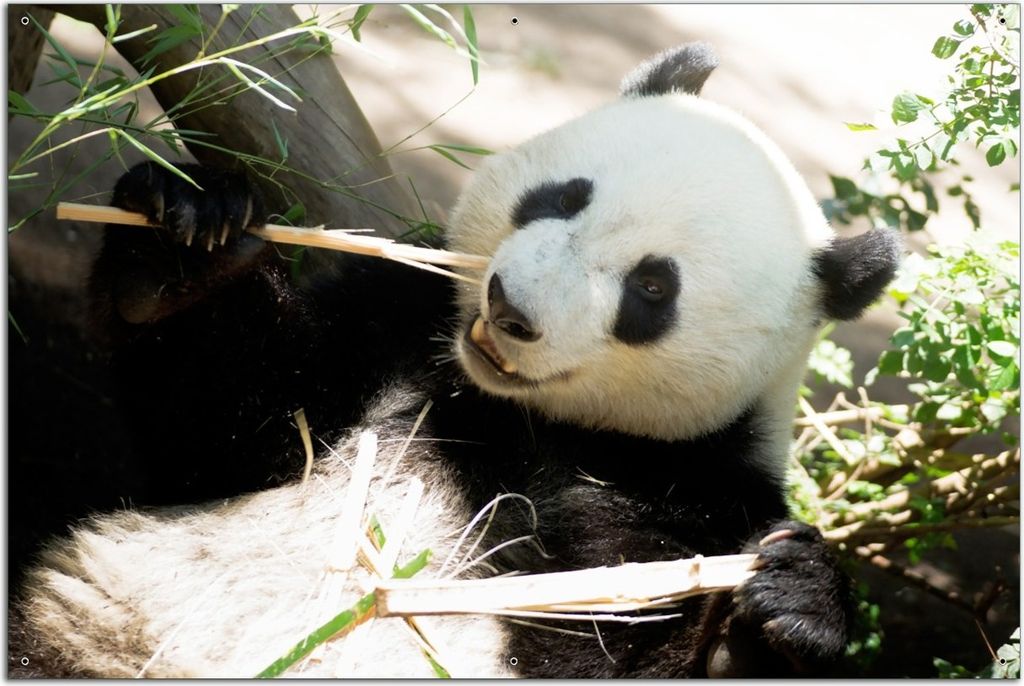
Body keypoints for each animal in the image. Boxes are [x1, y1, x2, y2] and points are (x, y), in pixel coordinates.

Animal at [12, 44, 900, 678]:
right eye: (564, 196)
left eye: (652, 287)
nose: (510, 308)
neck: (512, 412)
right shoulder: (398, 323)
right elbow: (231, 438)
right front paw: (188, 237)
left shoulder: (692, 483)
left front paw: (780, 614)